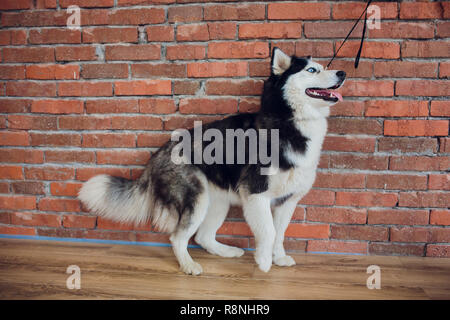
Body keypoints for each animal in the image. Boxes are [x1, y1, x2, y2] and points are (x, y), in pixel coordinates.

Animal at [78, 48, 344, 276]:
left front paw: (278, 258)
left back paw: (226, 251)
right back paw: (188, 265)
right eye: (312, 70)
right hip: (197, 199)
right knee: (178, 237)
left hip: (217, 202)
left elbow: (279, 233)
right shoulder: (256, 193)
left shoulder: (287, 200)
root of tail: (158, 154)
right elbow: (268, 231)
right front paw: (263, 261)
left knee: (203, 237)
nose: (342, 73)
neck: (289, 121)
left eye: (323, 67)